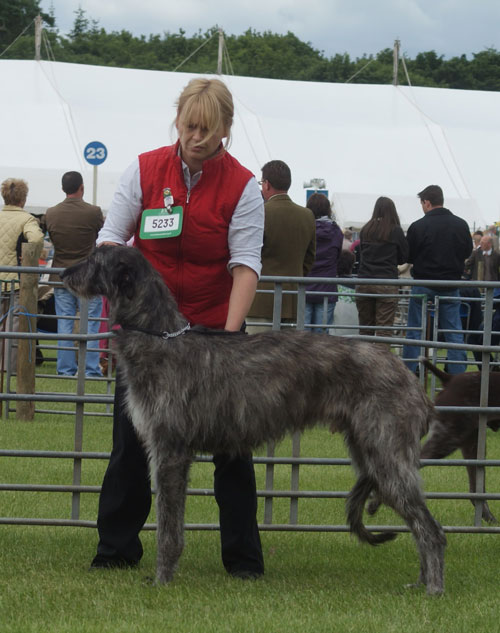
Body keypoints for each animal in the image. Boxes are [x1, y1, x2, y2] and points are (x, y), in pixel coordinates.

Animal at [61, 246, 446, 592]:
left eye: (94, 258)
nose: (64, 273)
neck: (161, 337)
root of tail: (412, 381)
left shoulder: (171, 452)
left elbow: (169, 529)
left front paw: (162, 581)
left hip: (386, 455)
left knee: (431, 530)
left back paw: (433, 589)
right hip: (369, 452)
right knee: (421, 525)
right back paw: (419, 583)